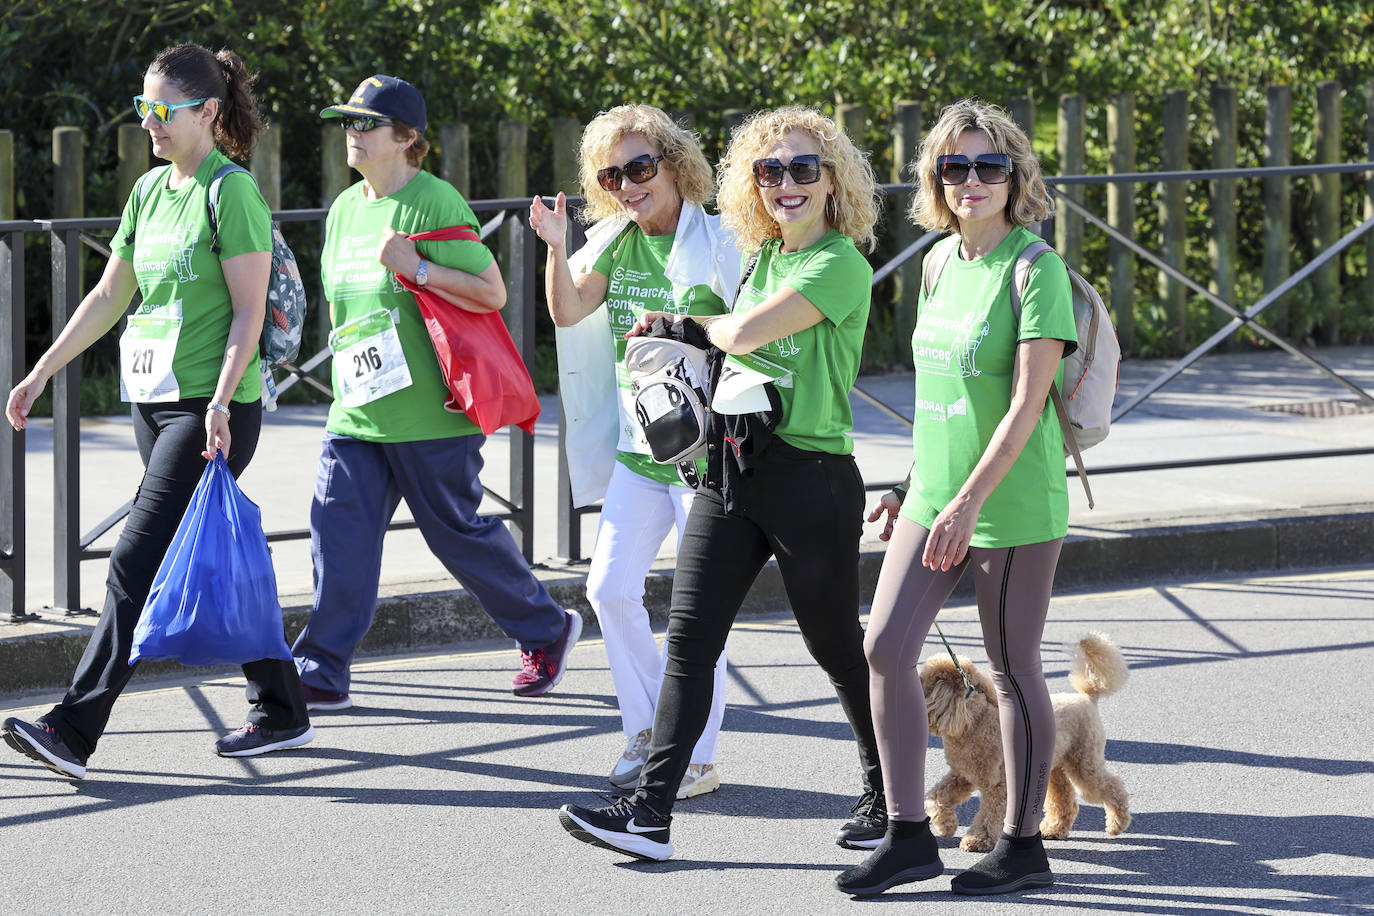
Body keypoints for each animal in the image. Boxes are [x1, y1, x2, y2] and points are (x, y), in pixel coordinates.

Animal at [917, 631, 1132, 851]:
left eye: (924, 681)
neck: (974, 722)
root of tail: (1087, 698)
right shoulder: (962, 776)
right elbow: (936, 797)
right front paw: (946, 826)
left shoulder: (997, 784)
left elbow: (989, 814)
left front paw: (979, 839)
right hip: (1056, 767)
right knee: (1063, 798)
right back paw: (1054, 829)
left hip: (1084, 763)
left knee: (1111, 786)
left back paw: (1117, 824)